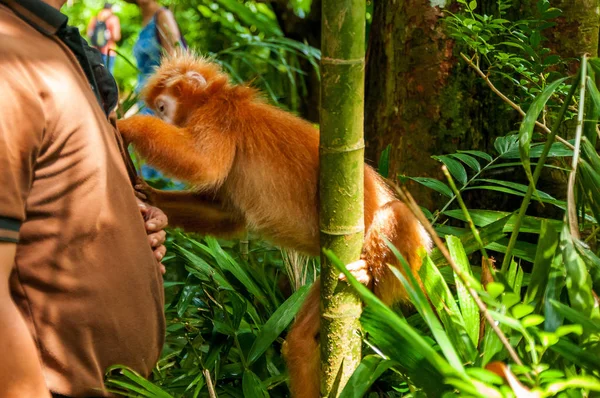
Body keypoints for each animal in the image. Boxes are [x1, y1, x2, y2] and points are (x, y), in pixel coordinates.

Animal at [115, 53, 428, 398]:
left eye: (161, 108)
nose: (164, 120)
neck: (214, 99)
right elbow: (229, 216)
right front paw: (150, 198)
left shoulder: (220, 117)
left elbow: (203, 164)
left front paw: (126, 126)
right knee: (302, 342)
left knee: (397, 213)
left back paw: (369, 273)